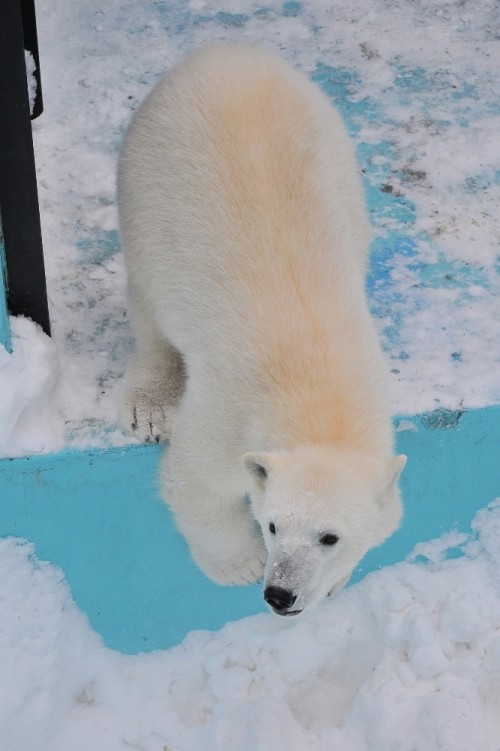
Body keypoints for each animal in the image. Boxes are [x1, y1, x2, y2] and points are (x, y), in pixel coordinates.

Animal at [118, 42, 406, 616]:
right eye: (272, 526)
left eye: (330, 536)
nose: (280, 595)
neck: (318, 387)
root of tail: (225, 51)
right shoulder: (228, 413)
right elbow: (196, 482)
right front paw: (238, 566)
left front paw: (332, 582)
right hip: (146, 183)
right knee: (150, 306)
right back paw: (150, 403)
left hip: (335, 145)